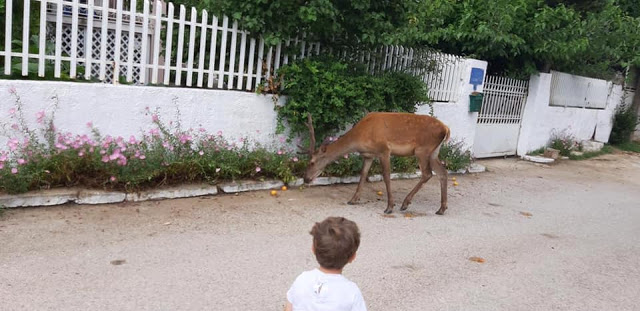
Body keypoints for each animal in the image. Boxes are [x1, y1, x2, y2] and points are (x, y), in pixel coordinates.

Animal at [298, 112, 450, 217]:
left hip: (422, 150)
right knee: (442, 172)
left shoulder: (384, 150)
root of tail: (446, 129)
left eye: (311, 162)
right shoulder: (368, 155)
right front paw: (353, 200)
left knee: (427, 173)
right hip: (433, 152)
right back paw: (441, 209)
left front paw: (389, 207)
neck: (360, 137)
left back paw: (405, 203)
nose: (306, 178)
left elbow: (386, 176)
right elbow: (363, 175)